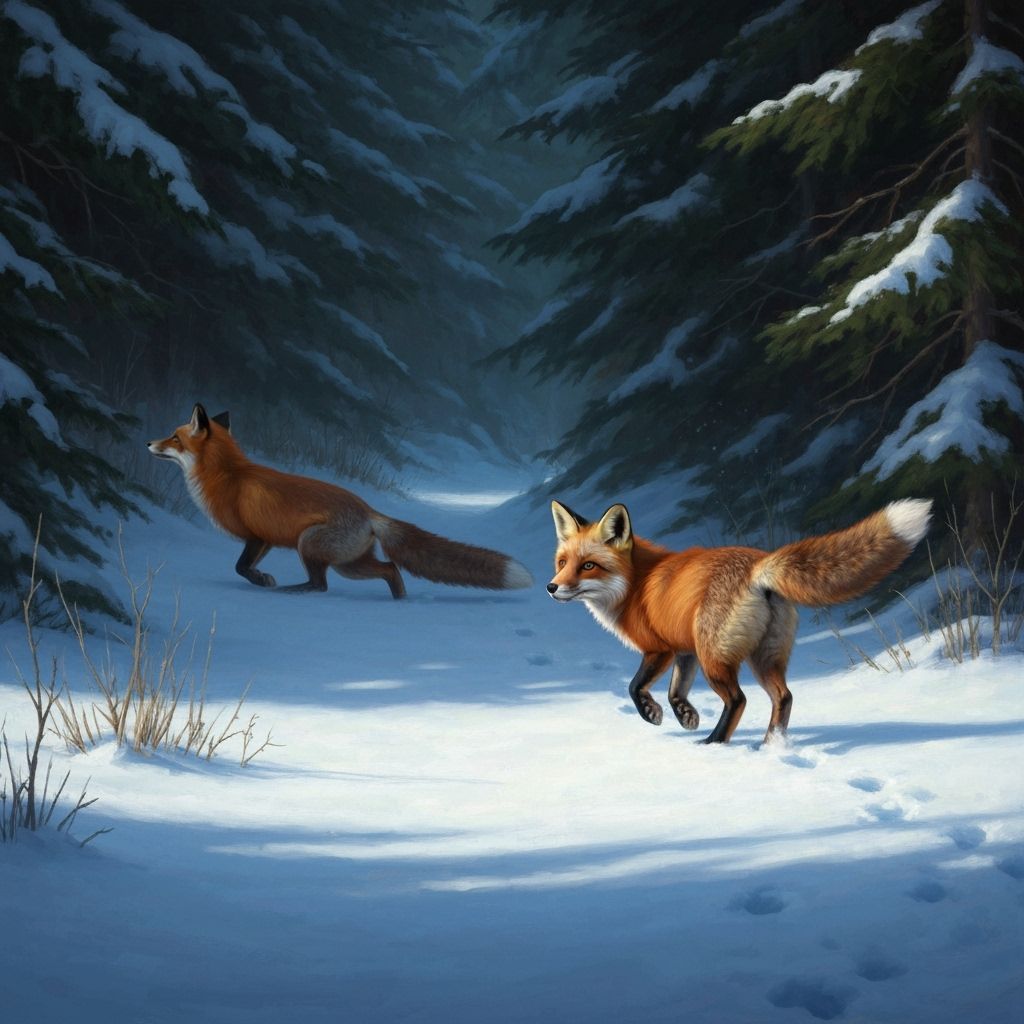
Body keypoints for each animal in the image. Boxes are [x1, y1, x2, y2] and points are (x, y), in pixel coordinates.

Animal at [148, 404, 533, 598]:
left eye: (174, 437)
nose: (149, 443)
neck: (228, 475)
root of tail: (369, 511)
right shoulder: (265, 540)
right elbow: (243, 566)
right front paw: (262, 578)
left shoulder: (257, 536)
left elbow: (241, 567)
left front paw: (263, 581)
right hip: (350, 563)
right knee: (390, 569)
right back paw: (400, 600)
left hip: (310, 547)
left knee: (322, 585)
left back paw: (294, 590)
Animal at [547, 497, 932, 745]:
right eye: (562, 562)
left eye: (588, 566)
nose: (552, 588)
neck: (636, 584)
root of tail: (758, 564)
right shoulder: (685, 651)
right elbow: (675, 691)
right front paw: (685, 715)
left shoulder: (661, 649)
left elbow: (634, 686)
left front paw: (652, 713)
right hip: (762, 658)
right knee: (784, 697)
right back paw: (772, 744)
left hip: (715, 659)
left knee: (738, 700)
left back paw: (715, 742)